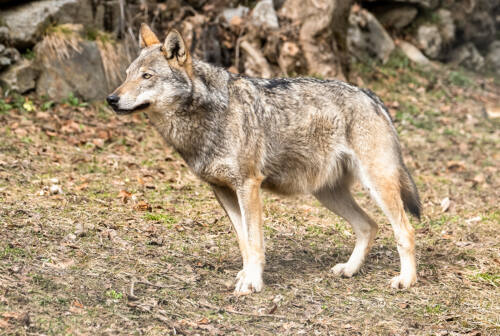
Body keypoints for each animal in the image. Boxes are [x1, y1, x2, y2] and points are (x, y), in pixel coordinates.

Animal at [106, 23, 422, 296]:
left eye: (147, 76)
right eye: (127, 74)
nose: (111, 98)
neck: (208, 117)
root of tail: (372, 96)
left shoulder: (248, 186)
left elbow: (255, 241)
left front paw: (252, 283)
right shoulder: (223, 191)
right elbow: (244, 242)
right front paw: (246, 276)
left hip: (376, 185)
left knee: (405, 230)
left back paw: (406, 280)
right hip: (327, 194)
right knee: (369, 226)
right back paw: (350, 269)